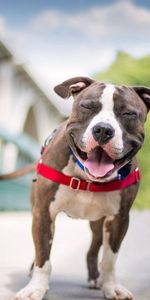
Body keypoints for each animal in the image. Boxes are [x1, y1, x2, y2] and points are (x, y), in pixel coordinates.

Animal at [0, 77, 149, 300]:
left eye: (129, 114)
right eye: (87, 106)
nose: (103, 130)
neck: (86, 177)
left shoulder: (119, 219)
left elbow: (109, 259)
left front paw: (110, 287)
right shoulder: (43, 212)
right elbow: (43, 255)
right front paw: (36, 288)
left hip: (98, 223)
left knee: (93, 250)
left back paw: (96, 278)